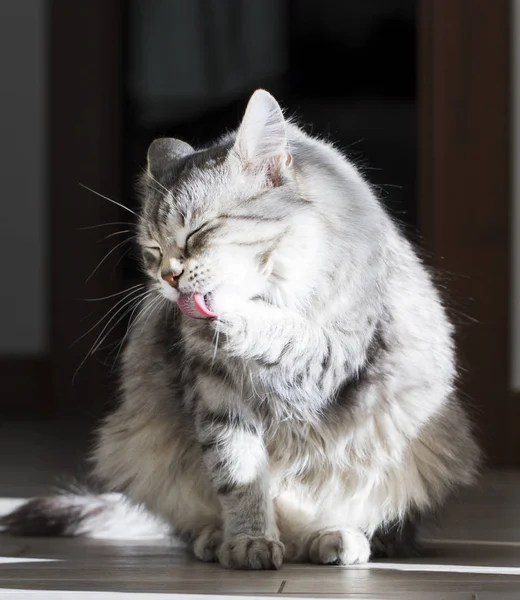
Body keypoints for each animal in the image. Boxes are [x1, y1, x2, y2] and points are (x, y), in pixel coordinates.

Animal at [1, 90, 480, 572]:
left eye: (199, 231)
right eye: (153, 249)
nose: (169, 278)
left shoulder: (335, 352)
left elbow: (284, 332)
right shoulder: (216, 395)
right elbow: (238, 474)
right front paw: (249, 540)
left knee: (354, 514)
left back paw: (336, 538)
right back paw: (219, 537)